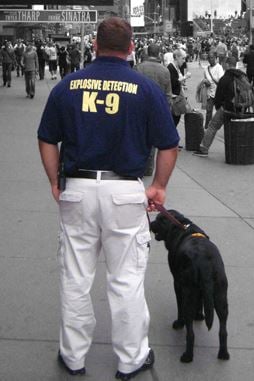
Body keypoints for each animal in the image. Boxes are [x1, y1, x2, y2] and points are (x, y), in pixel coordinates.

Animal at [151, 211, 230, 362]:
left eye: (159, 219)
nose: (150, 224)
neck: (181, 227)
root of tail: (205, 262)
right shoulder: (199, 290)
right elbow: (200, 301)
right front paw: (199, 315)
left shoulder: (178, 283)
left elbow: (180, 307)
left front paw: (179, 323)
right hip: (221, 296)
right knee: (223, 330)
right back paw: (223, 354)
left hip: (189, 293)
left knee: (191, 333)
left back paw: (187, 356)